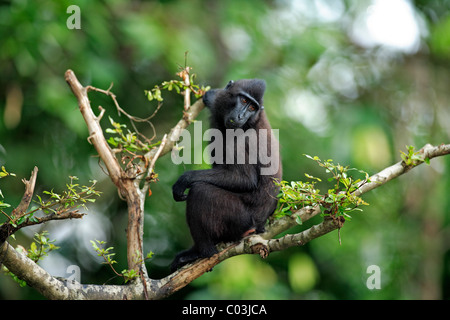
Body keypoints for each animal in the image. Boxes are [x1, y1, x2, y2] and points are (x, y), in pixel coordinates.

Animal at [170, 79, 282, 272]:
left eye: (252, 107)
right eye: (244, 101)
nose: (241, 116)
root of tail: (261, 224)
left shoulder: (244, 140)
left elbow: (245, 179)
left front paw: (185, 179)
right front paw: (211, 95)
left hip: (240, 219)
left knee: (200, 191)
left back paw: (203, 252)